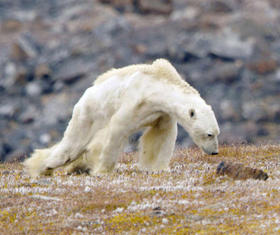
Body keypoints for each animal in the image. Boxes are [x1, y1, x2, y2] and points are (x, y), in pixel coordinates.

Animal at [24, 58, 220, 176]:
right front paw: (102, 169)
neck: (157, 86)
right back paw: (43, 167)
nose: (214, 152)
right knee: (71, 146)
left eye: (217, 133)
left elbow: (161, 136)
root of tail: (84, 95)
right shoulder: (135, 101)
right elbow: (117, 129)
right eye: (209, 134)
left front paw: (157, 167)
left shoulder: (161, 112)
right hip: (88, 114)